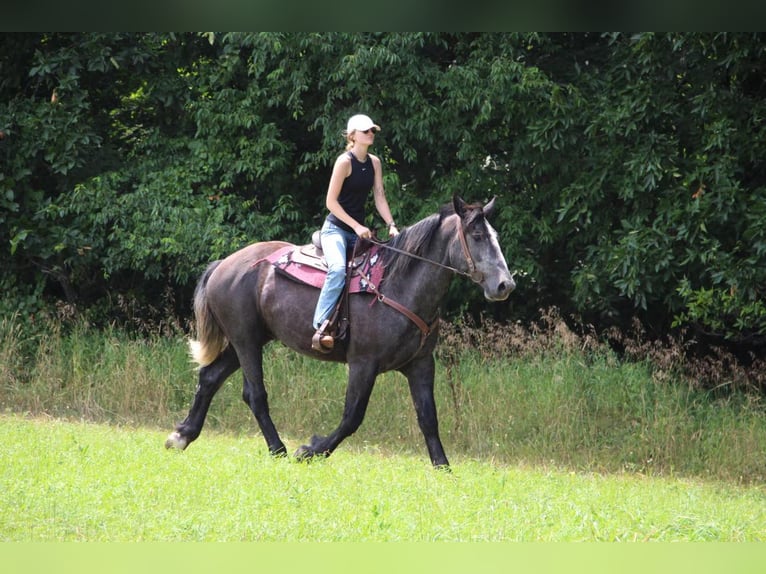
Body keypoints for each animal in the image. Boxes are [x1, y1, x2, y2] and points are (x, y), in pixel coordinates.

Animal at [167, 196, 516, 470]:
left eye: (494, 235)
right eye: (477, 235)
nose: (505, 285)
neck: (398, 284)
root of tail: (224, 264)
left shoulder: (420, 364)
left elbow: (428, 417)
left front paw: (443, 468)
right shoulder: (363, 363)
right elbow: (352, 417)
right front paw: (309, 450)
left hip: (246, 341)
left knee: (210, 378)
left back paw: (182, 435)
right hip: (246, 341)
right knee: (254, 394)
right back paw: (278, 449)